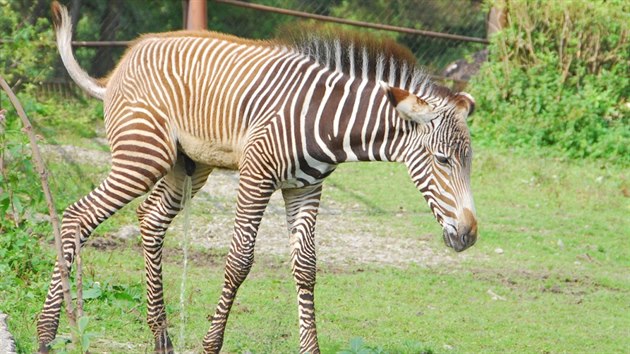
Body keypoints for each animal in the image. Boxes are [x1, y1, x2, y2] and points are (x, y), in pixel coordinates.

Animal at [40, 2, 478, 352]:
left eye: (469, 162)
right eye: (442, 160)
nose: (469, 235)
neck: (327, 123)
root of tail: (123, 61)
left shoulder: (306, 188)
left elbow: (306, 266)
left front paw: (310, 348)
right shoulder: (256, 176)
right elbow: (239, 261)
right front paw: (210, 345)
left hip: (188, 165)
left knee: (150, 220)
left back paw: (160, 336)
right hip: (142, 156)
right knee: (77, 216)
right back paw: (47, 333)